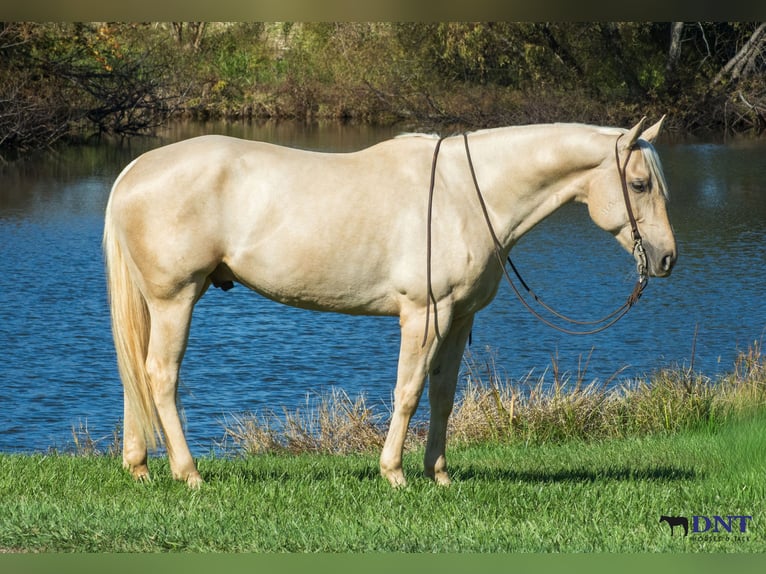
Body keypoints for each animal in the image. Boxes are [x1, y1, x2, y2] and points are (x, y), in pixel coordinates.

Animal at [103, 117, 676, 488]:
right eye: (638, 184)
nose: (667, 257)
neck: (467, 195)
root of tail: (135, 169)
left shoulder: (459, 317)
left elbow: (443, 396)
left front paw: (439, 474)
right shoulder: (425, 313)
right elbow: (407, 392)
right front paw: (395, 473)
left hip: (159, 303)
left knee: (136, 375)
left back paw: (139, 466)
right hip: (175, 299)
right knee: (159, 376)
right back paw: (189, 474)